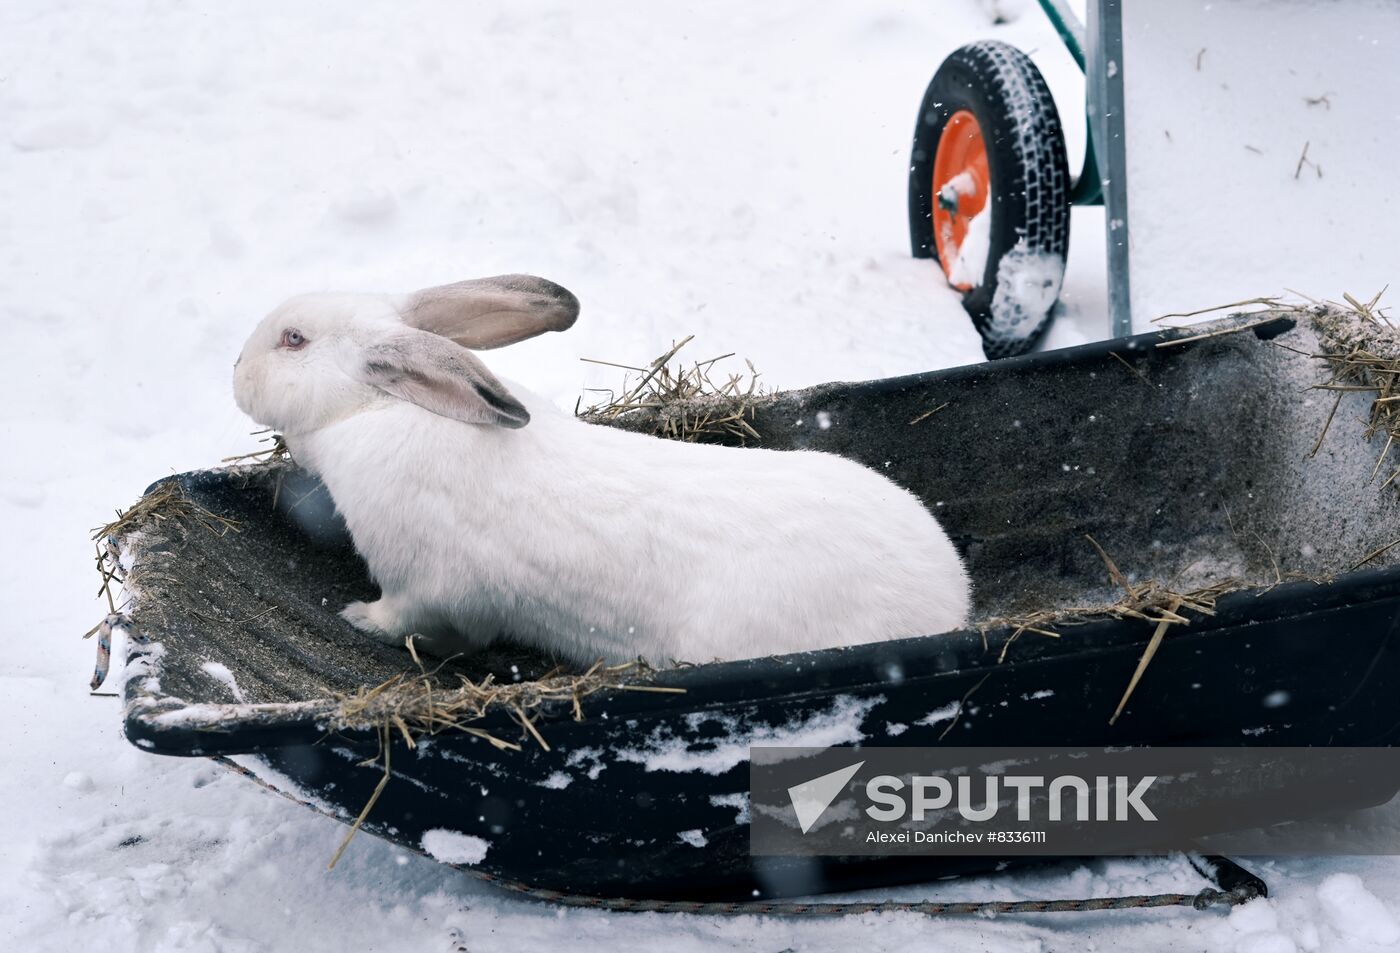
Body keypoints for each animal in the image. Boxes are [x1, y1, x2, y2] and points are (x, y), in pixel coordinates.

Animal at [232, 275, 974, 660]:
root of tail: (950, 598)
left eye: (293, 340)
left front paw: (357, 617)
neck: (379, 408)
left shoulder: (426, 586)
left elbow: (408, 617)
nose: (236, 375)